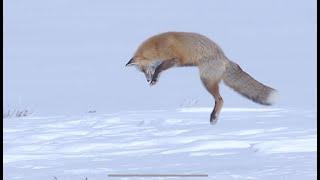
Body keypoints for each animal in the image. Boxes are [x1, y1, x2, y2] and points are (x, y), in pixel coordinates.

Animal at [125, 31, 278, 124]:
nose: (147, 80)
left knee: (220, 99)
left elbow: (159, 68)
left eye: (145, 70)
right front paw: (154, 80)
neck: (157, 47)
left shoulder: (174, 59)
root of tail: (224, 58)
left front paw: (155, 78)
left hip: (206, 81)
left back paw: (213, 117)